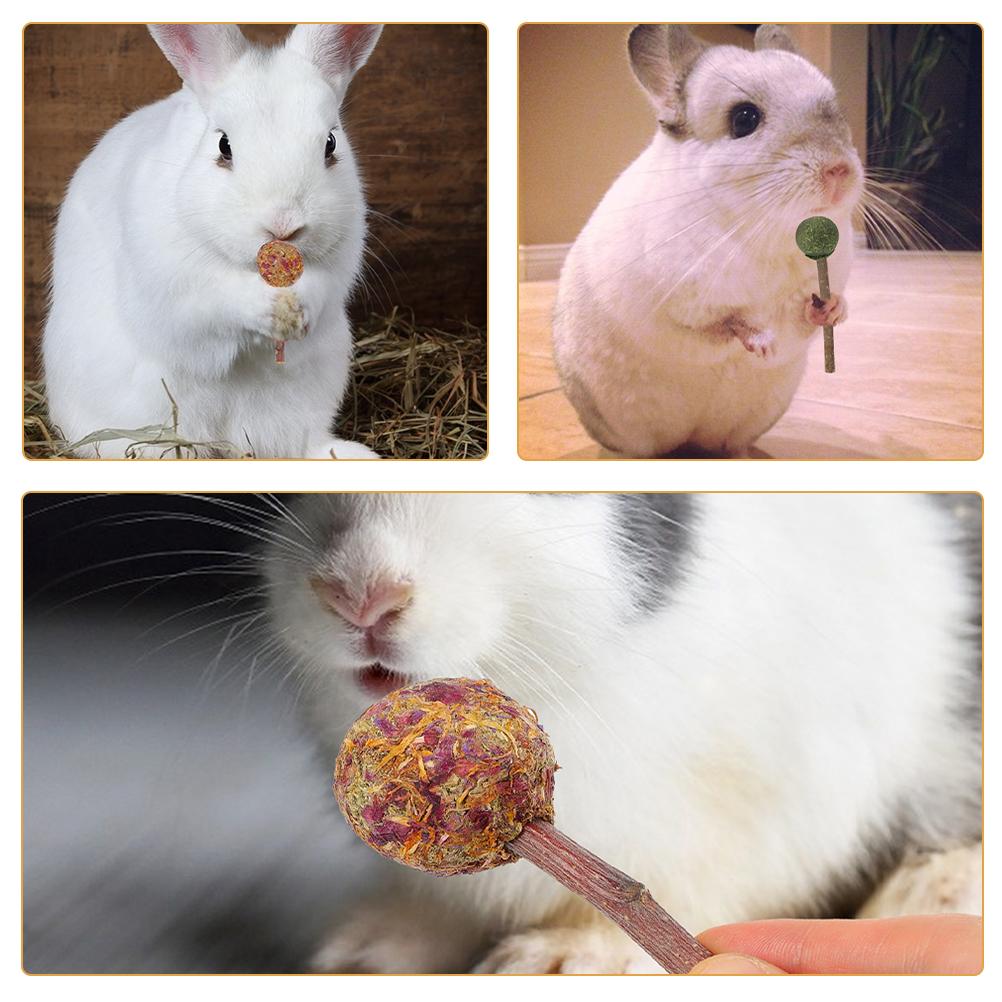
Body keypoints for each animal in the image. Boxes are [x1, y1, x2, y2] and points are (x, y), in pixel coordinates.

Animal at [41, 23, 383, 458]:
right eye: (224, 146)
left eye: (330, 144)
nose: (284, 224)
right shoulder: (177, 293)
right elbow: (216, 304)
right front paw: (266, 308)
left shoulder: (338, 268)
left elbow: (321, 288)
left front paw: (298, 309)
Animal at [552, 25, 864, 457]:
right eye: (744, 119)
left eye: (837, 110)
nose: (840, 170)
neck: (767, 227)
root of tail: (687, 439)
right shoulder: (683, 305)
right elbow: (727, 323)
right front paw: (763, 344)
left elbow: (808, 317)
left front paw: (833, 310)